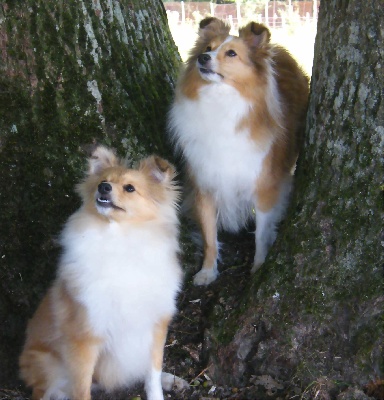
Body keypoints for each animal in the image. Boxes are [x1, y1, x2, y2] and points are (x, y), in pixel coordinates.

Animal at [168, 18, 308, 284]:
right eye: (208, 47)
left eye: (231, 53)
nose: (203, 58)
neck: (220, 101)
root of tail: (280, 51)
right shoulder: (205, 184)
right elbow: (210, 237)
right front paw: (208, 271)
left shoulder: (264, 186)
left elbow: (261, 233)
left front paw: (259, 266)